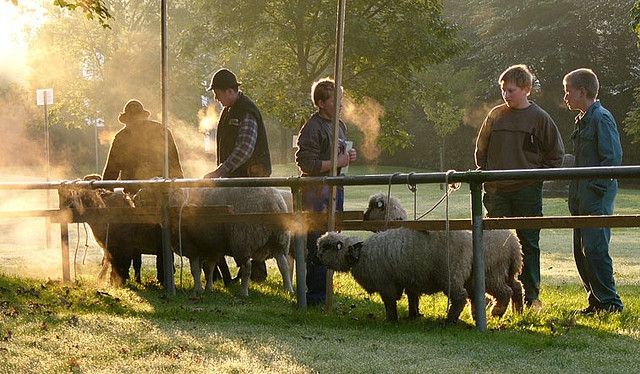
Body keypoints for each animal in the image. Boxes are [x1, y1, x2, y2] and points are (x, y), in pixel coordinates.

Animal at [316, 229, 470, 322]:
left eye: (326, 247)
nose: (316, 257)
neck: (360, 254)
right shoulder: (406, 281)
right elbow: (412, 298)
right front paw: (413, 315)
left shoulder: (386, 283)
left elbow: (389, 302)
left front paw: (390, 320)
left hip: (451, 274)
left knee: (460, 297)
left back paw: (450, 320)